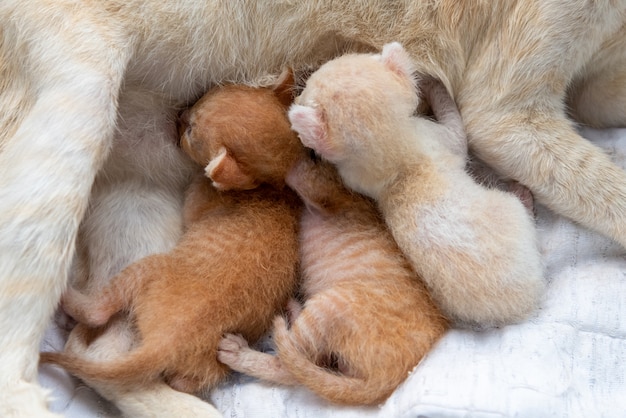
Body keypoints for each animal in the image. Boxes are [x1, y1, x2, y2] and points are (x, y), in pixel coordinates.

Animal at [39, 72, 302, 396]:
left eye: (189, 132)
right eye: (206, 96)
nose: (178, 115)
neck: (275, 190)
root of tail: (164, 342)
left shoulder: (197, 199)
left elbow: (193, 201)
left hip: (149, 267)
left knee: (97, 311)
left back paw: (64, 295)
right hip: (210, 362)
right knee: (184, 381)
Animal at [217, 154, 446, 404]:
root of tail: (390, 380)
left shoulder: (333, 196)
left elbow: (306, 178)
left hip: (330, 305)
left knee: (289, 368)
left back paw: (239, 353)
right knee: (310, 361)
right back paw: (293, 309)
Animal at [288, 43, 540, 330]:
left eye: (315, 78)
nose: (298, 90)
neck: (395, 157)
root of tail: (519, 308)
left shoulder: (354, 176)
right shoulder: (441, 138)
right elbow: (456, 127)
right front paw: (435, 84)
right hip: (512, 216)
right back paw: (524, 195)